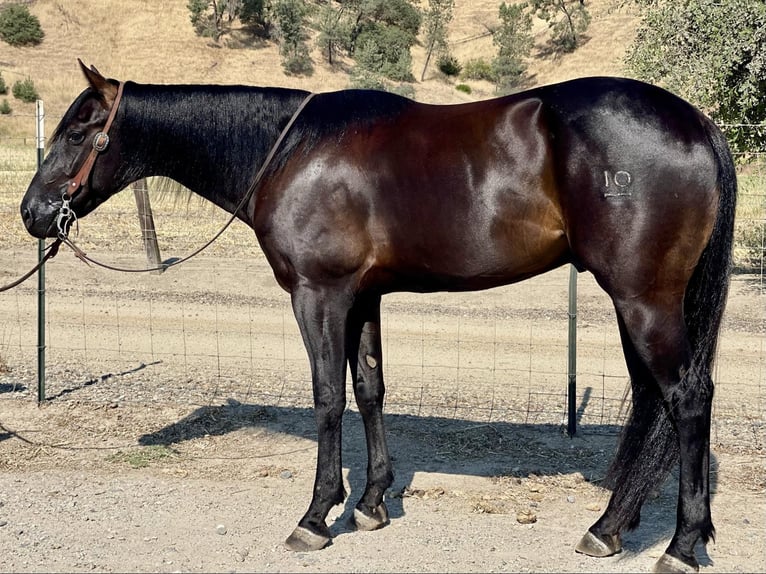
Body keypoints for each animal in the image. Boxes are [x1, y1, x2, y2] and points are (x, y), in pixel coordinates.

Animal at [21, 61, 736, 573]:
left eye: (80, 130)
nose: (32, 213)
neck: (292, 151)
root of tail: (698, 125)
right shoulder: (363, 297)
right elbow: (369, 387)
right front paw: (370, 504)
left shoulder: (319, 294)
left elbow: (327, 397)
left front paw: (316, 517)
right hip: (636, 302)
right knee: (653, 401)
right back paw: (610, 529)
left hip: (642, 299)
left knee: (685, 398)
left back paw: (680, 546)